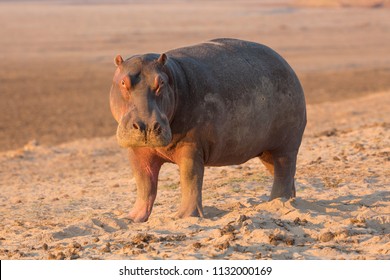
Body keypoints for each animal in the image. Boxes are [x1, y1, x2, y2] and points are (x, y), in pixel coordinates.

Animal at [108, 38, 306, 223]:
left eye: (161, 82)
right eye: (123, 82)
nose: (146, 126)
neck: (173, 78)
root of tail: (287, 65)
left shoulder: (192, 147)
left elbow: (190, 179)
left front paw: (183, 216)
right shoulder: (137, 152)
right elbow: (144, 184)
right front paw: (132, 218)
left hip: (286, 145)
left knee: (284, 172)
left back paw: (277, 202)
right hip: (266, 151)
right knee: (284, 175)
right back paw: (287, 202)